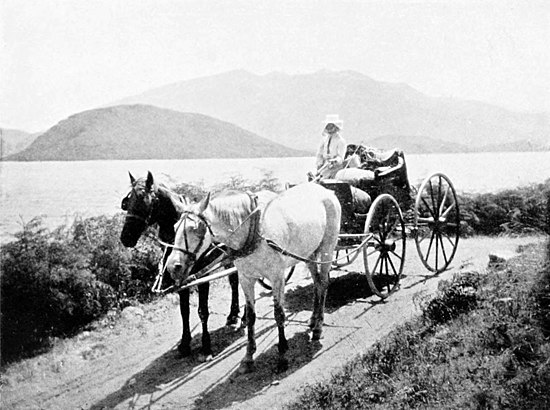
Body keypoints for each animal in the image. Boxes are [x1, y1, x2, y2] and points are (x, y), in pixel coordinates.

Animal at [119, 171, 243, 358]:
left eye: (143, 201)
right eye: (127, 203)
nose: (125, 237)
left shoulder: (202, 275)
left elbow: (202, 311)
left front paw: (206, 345)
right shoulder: (180, 277)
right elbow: (184, 310)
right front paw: (185, 343)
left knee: (237, 280)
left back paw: (238, 316)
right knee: (234, 281)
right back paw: (233, 314)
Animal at [166, 183, 342, 372]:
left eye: (195, 229)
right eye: (174, 227)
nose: (172, 267)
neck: (254, 231)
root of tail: (324, 189)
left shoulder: (277, 277)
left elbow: (279, 314)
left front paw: (282, 355)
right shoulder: (246, 278)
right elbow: (250, 316)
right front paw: (248, 357)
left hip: (327, 249)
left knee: (323, 283)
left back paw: (318, 328)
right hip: (309, 253)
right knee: (317, 283)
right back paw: (313, 320)